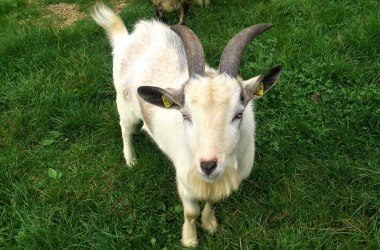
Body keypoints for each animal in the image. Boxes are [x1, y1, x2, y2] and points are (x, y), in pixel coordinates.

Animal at [92, 2, 282, 247]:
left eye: (238, 114)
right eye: (185, 115)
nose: (208, 165)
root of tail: (127, 38)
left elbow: (211, 202)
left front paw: (210, 224)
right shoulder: (185, 179)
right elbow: (191, 212)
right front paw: (190, 240)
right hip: (125, 105)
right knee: (125, 129)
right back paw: (130, 159)